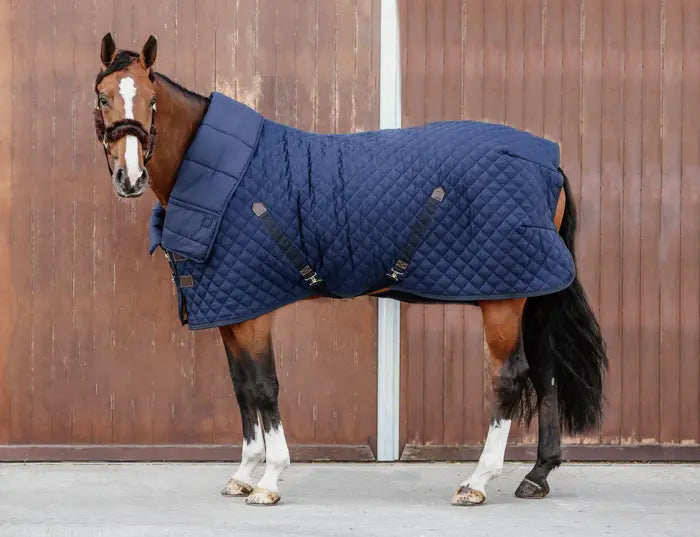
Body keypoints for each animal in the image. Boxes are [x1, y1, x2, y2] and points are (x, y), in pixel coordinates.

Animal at [93, 33, 607, 506]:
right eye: (102, 96)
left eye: (151, 99)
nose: (130, 179)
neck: (223, 178)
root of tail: (549, 164)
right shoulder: (230, 310)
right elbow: (241, 388)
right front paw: (243, 474)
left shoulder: (255, 311)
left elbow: (264, 386)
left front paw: (270, 480)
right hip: (531, 290)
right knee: (545, 371)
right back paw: (536, 475)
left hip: (503, 300)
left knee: (510, 376)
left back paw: (477, 482)